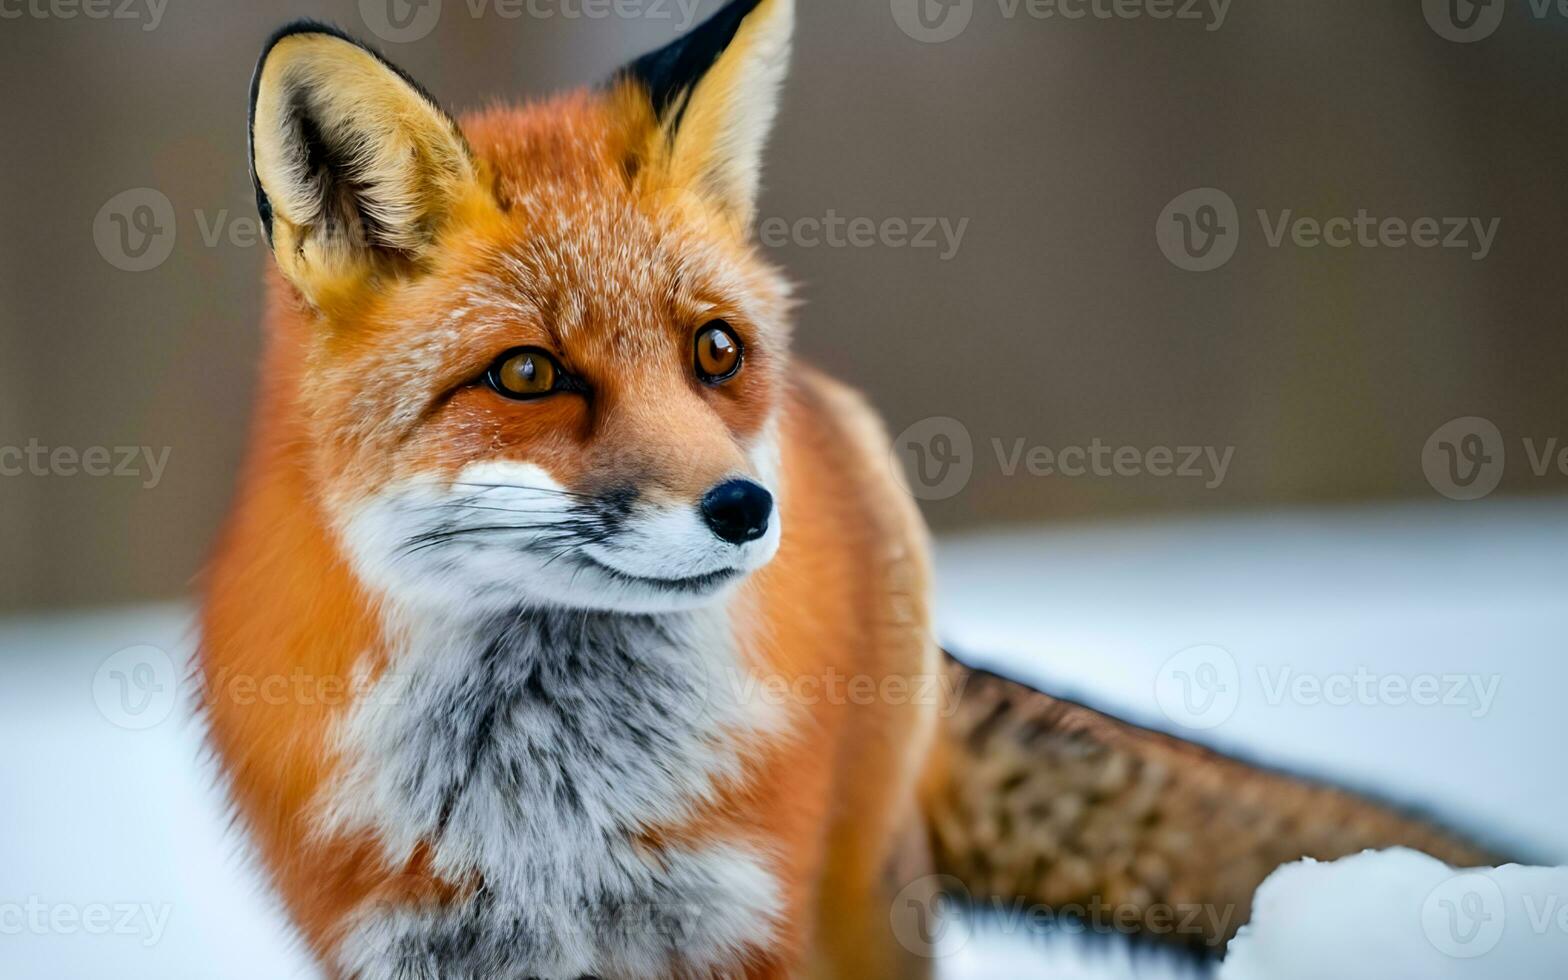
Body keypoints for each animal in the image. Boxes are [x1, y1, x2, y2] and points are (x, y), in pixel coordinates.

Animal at [205, 3, 1492, 972]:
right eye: (527, 373)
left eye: (714, 351)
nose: (742, 508)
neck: (548, 805)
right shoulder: (403, 942)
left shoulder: (739, 920)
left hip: (863, 904)